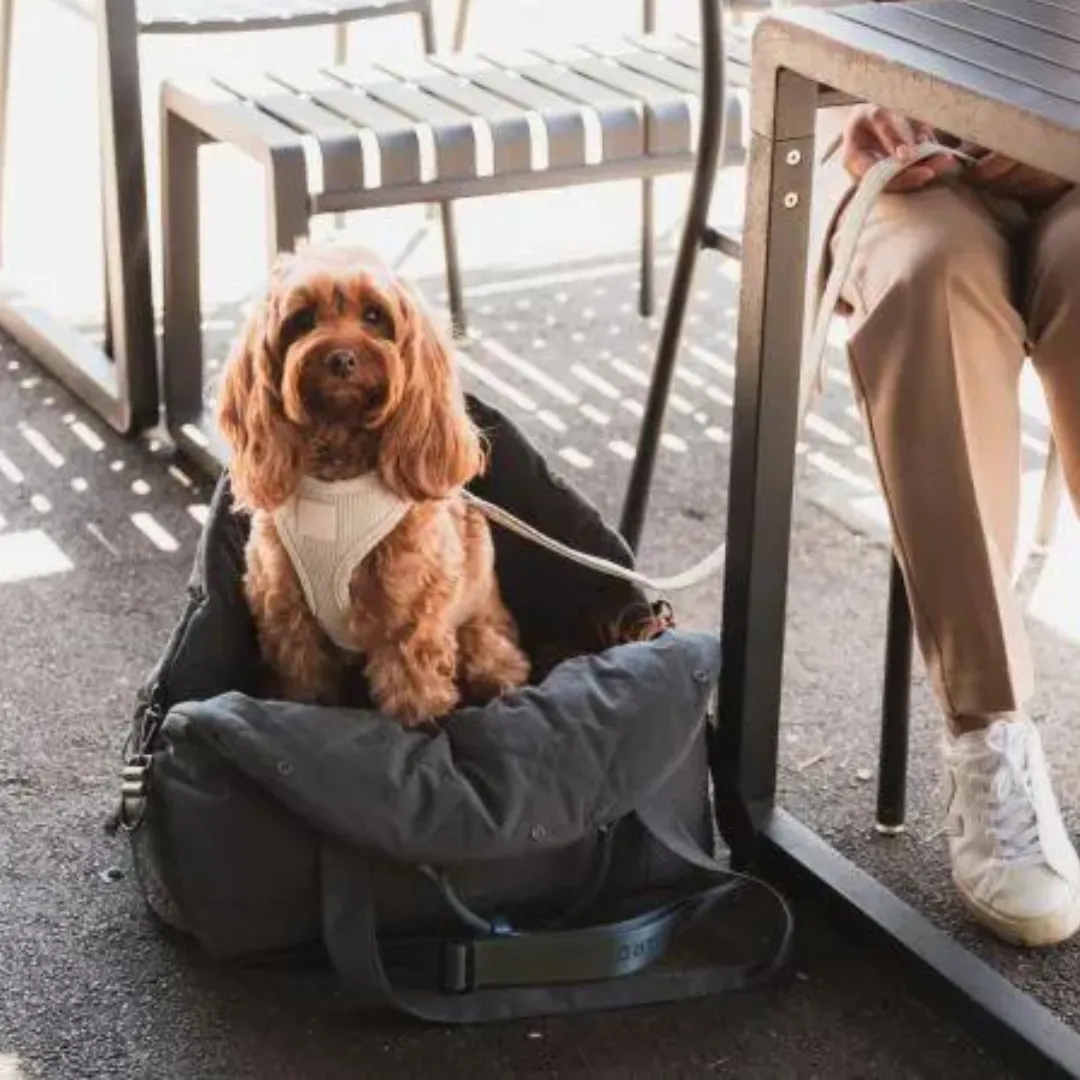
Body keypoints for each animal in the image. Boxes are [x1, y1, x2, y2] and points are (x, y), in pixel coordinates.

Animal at [216, 245, 531, 725]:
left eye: (374, 315)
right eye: (302, 320)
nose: (342, 358)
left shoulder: (407, 623)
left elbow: (413, 698)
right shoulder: (289, 616)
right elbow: (305, 688)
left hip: (482, 640)